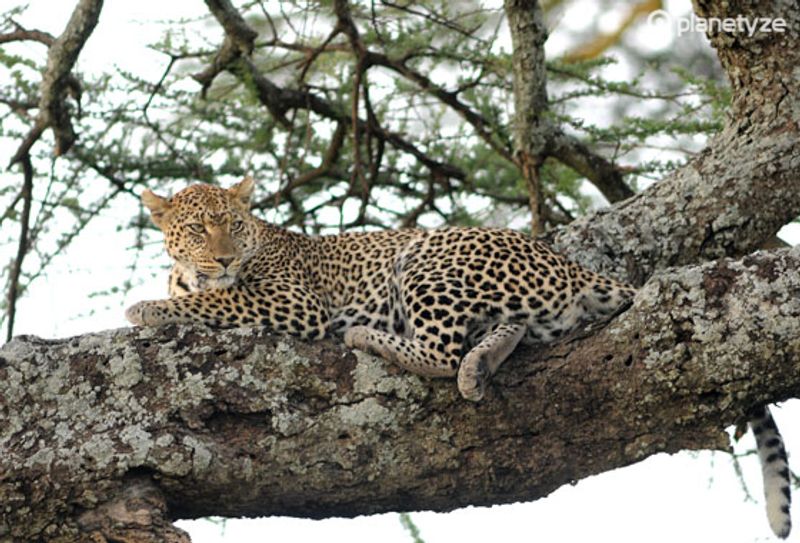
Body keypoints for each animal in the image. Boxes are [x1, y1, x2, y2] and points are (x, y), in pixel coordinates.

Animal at [126, 180, 792, 540]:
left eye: (234, 225)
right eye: (197, 229)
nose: (224, 256)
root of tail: (564, 261)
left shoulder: (292, 300)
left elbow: (215, 300)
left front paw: (146, 308)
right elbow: (206, 295)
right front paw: (164, 297)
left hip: (424, 262)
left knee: (440, 352)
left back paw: (370, 338)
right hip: (516, 305)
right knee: (503, 332)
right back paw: (482, 364)